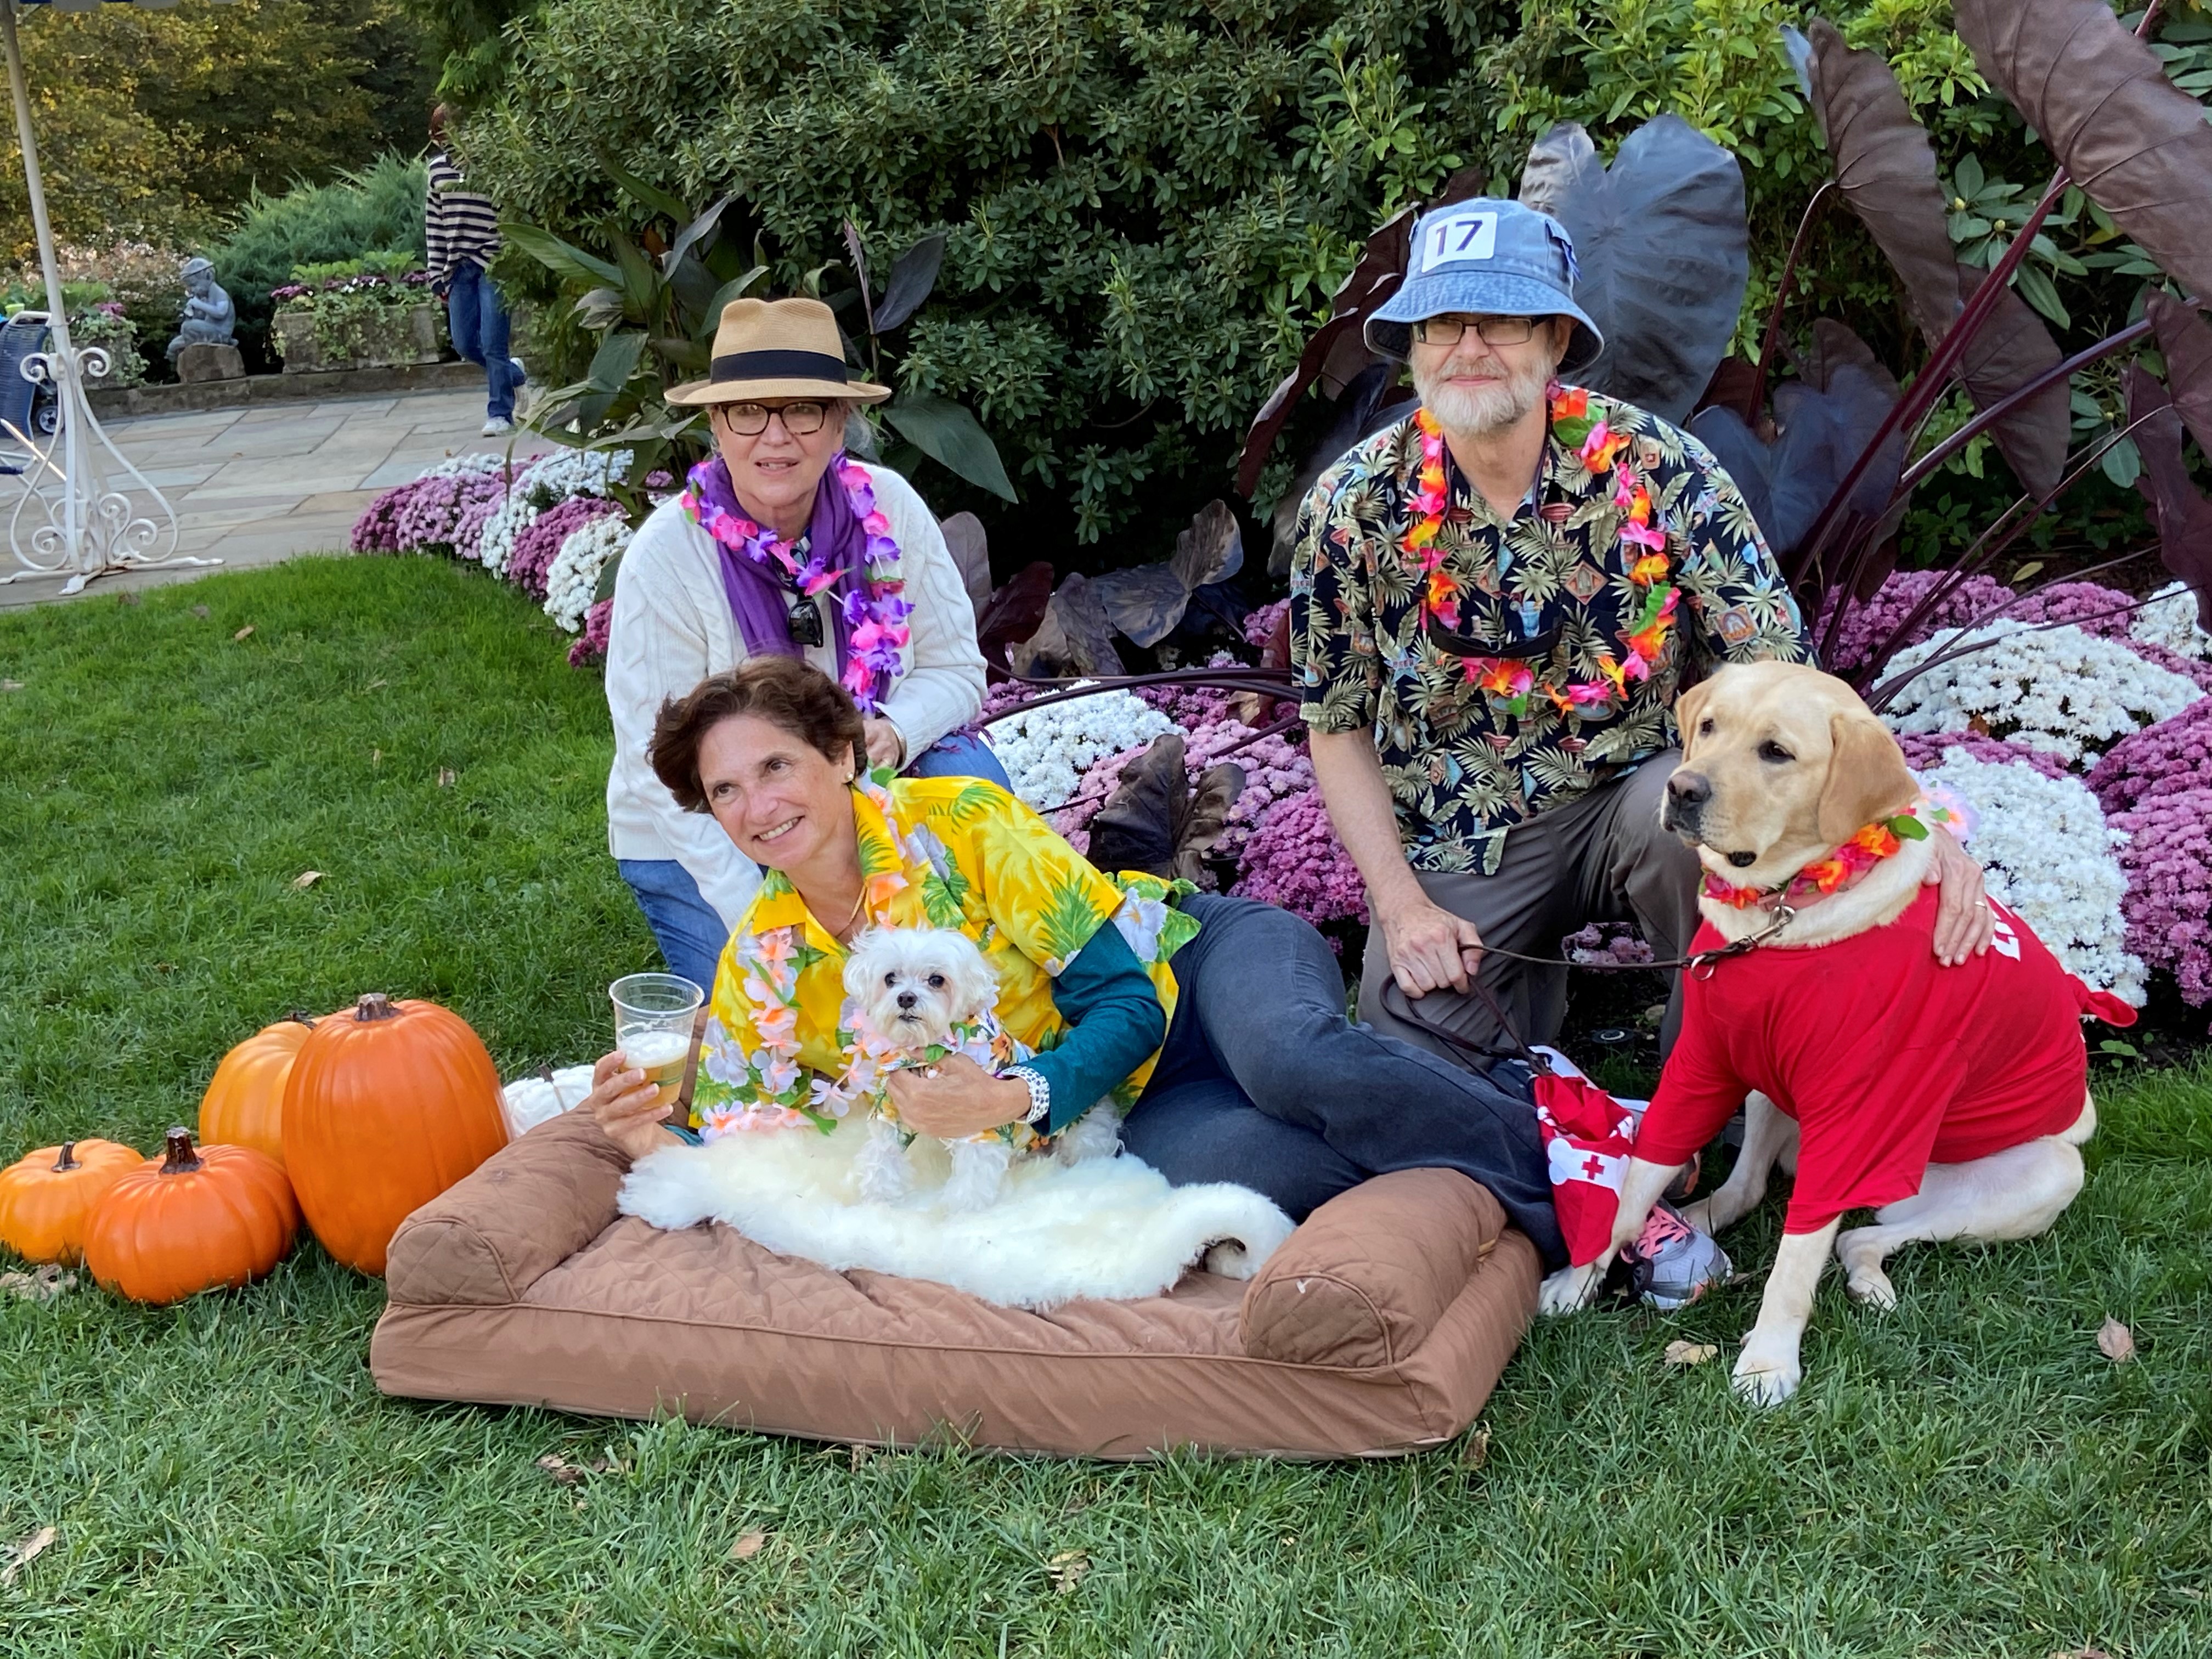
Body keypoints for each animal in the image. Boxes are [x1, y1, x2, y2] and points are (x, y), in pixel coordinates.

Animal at [840, 929, 1132, 1212]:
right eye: (890, 978)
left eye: (937, 980)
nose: (906, 998)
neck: (929, 1051)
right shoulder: (891, 1106)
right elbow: (883, 1152)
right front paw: (878, 1200)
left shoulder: (980, 1122)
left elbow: (974, 1173)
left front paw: (962, 1212)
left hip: (1083, 1136)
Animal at [1539, 663, 2123, 1407]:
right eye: (1710, 726)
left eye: (1777, 753)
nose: (1683, 787)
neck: (1779, 918)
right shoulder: (1703, 1064)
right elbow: (1636, 1186)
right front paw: (1577, 1281)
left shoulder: (1858, 1110)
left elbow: (1796, 1255)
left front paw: (1767, 1364)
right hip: (1768, 1081)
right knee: (1752, 1192)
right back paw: (1698, 1219)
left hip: (2044, 1173)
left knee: (1854, 1239)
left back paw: (1869, 1280)